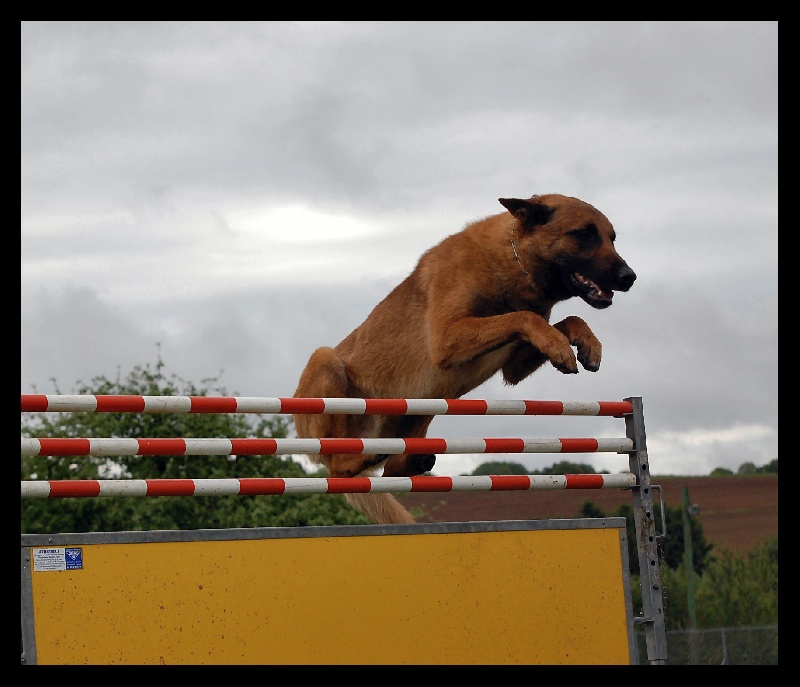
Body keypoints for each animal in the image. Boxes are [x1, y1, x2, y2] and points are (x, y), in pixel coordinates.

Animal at [294, 195, 636, 528]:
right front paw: (560, 345)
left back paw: (411, 459)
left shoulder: (513, 365)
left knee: (393, 467)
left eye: (612, 238)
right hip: (325, 361)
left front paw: (587, 344)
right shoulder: (447, 337)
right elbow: (523, 317)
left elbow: (567, 319)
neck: (514, 259)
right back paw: (362, 457)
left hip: (421, 412)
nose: (630, 277)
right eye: (584, 235)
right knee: (340, 467)